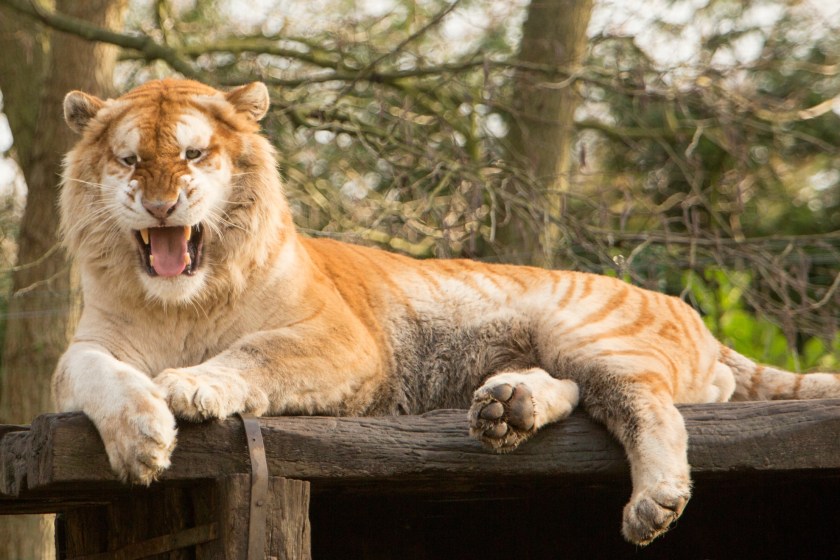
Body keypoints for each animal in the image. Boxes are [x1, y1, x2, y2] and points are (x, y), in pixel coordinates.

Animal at [54, 78, 840, 546]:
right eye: (130, 160)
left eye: (193, 154)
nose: (162, 205)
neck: (181, 302)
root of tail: (693, 314)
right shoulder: (87, 349)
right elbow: (95, 373)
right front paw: (141, 439)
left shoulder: (342, 342)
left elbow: (255, 352)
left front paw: (191, 385)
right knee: (584, 393)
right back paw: (506, 409)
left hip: (589, 330)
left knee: (649, 405)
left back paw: (653, 500)